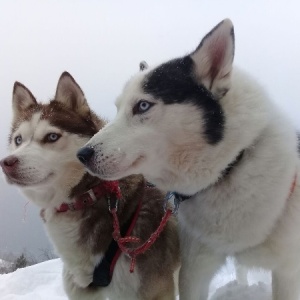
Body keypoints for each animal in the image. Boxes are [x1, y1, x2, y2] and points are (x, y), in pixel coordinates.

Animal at [0, 72, 179, 300]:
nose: (7, 163)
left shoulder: (152, 291)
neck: (92, 193)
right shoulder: (82, 291)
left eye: (52, 136)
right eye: (18, 140)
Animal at [78, 19, 300, 300]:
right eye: (117, 109)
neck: (229, 168)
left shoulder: (289, 271)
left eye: (142, 106)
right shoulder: (195, 268)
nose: (82, 155)